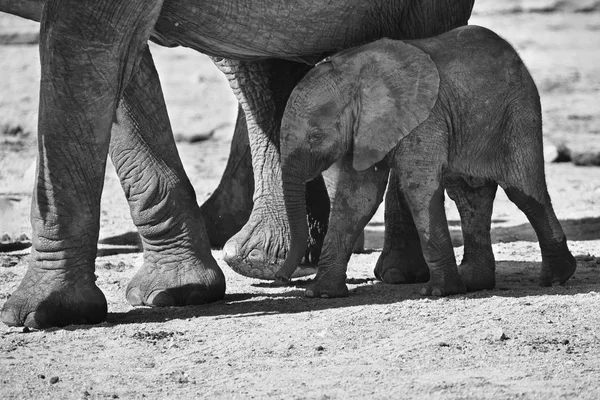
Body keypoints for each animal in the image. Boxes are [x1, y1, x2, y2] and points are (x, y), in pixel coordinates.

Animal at [2, 0, 476, 328]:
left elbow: (85, 49)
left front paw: (41, 315)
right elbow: (117, 69)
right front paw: (176, 294)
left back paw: (394, 273)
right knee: (254, 58)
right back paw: (267, 262)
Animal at [276, 23, 576, 296]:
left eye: (315, 136)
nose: (280, 277)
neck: (355, 75)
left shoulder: (424, 119)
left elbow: (418, 188)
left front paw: (439, 292)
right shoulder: (365, 131)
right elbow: (358, 198)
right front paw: (321, 293)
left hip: (518, 114)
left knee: (524, 192)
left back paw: (557, 278)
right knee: (469, 196)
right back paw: (475, 282)